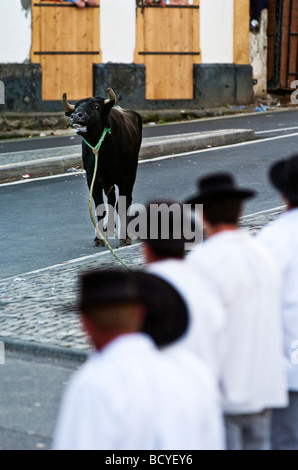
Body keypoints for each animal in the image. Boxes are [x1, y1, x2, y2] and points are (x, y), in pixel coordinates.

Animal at [61, 89, 142, 248]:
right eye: (76, 107)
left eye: (97, 107)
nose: (76, 116)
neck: (104, 152)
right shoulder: (93, 181)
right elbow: (100, 208)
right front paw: (99, 238)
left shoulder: (125, 178)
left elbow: (122, 205)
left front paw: (125, 237)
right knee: (110, 200)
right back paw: (108, 228)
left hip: (132, 173)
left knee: (125, 200)